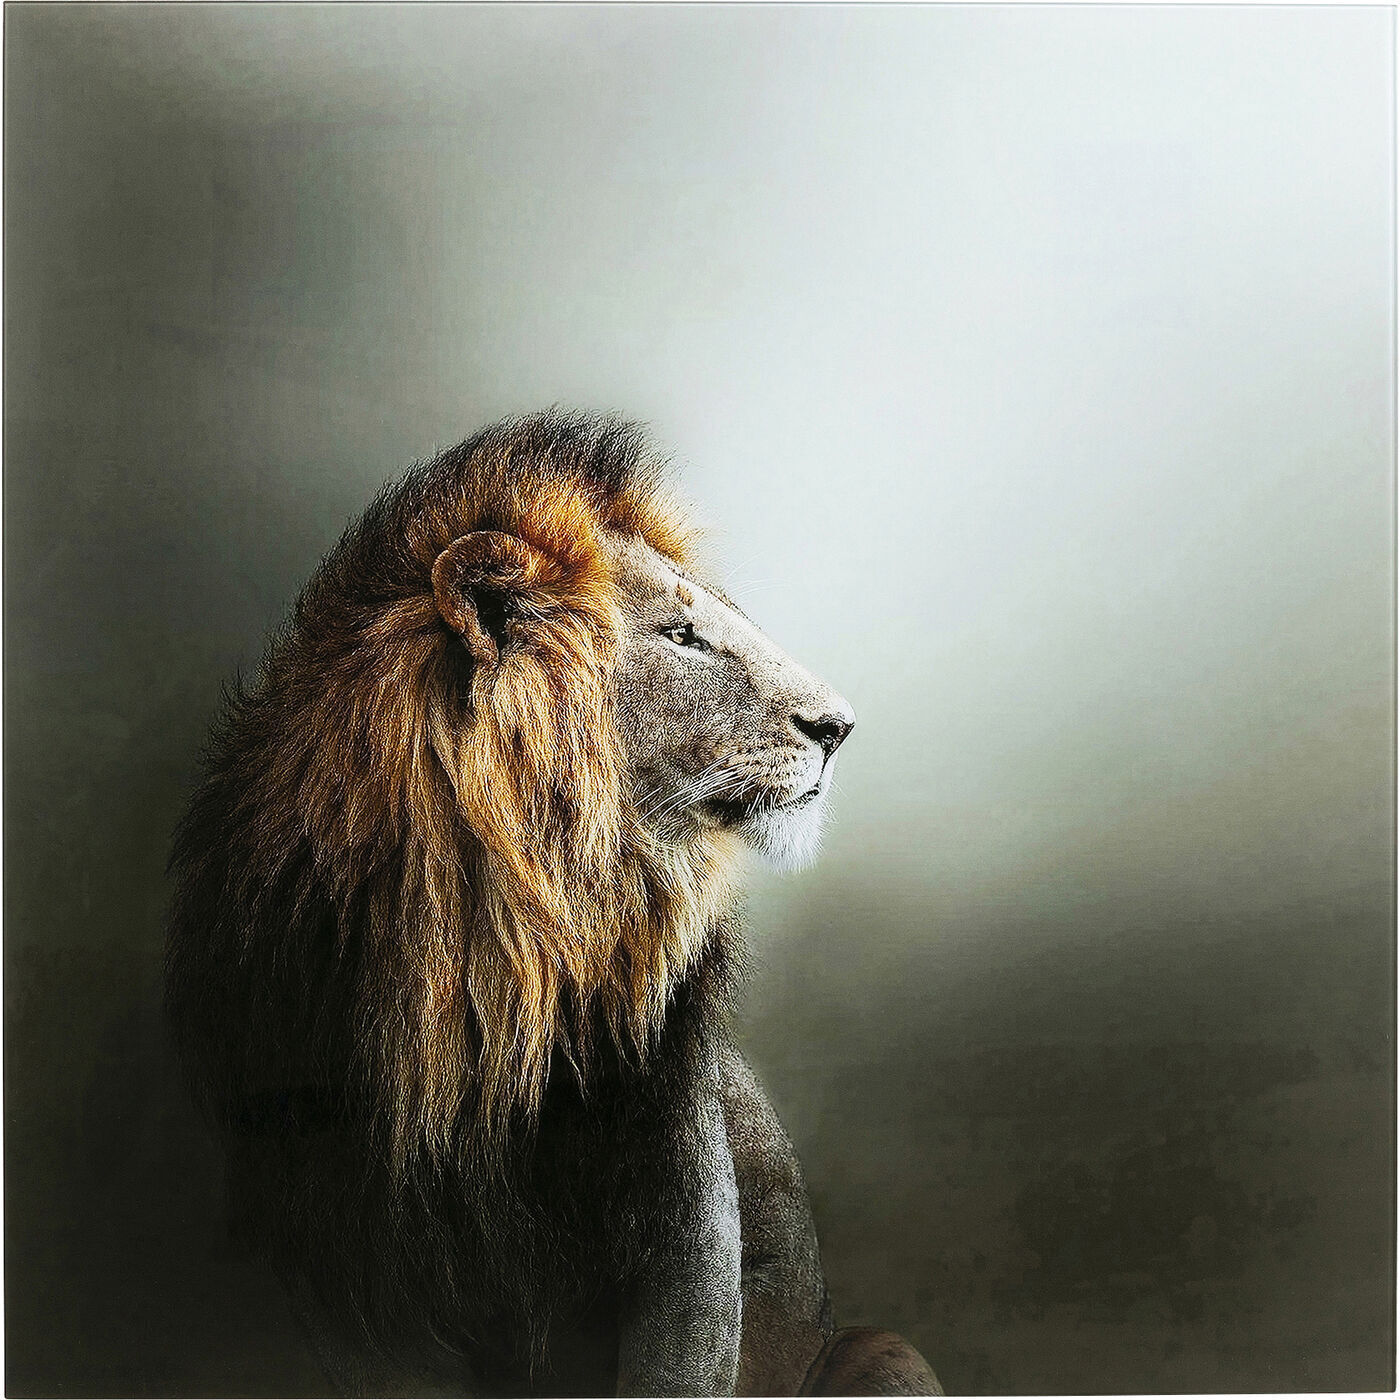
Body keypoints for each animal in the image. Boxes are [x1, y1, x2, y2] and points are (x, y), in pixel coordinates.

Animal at [165, 411, 939, 1397]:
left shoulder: (682, 1208)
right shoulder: (336, 1246)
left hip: (883, 1349)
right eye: (684, 637)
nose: (839, 727)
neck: (496, 940)